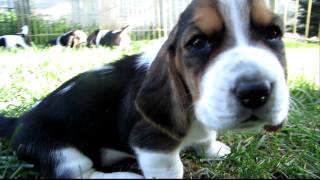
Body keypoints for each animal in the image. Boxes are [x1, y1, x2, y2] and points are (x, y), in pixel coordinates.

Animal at [0, 0, 290, 179]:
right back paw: (126, 176)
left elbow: (207, 137)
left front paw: (213, 151)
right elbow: (172, 170)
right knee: (80, 174)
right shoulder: (152, 145)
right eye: (198, 43)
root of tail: (19, 120)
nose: (255, 91)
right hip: (61, 153)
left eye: (274, 33)